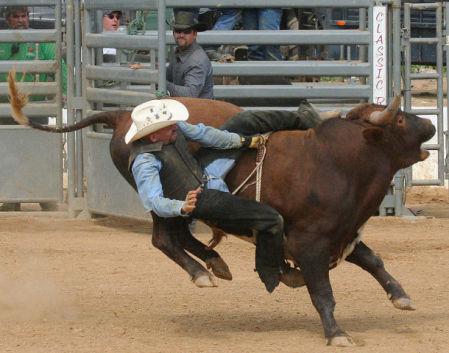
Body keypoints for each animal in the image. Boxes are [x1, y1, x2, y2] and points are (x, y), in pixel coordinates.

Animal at [7, 70, 434, 346]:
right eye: (400, 119)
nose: (430, 126)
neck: (337, 160)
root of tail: (123, 115)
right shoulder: (310, 242)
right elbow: (322, 291)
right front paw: (337, 333)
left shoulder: (341, 232)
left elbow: (372, 259)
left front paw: (400, 295)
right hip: (161, 203)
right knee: (165, 238)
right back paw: (203, 272)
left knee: (181, 235)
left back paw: (216, 262)